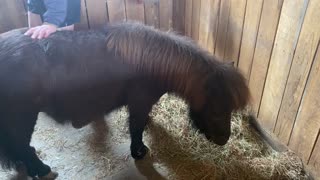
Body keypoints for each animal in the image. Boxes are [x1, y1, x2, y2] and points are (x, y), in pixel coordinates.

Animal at [0, 21, 250, 178]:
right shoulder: (139, 103)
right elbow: (136, 128)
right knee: (21, 145)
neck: (154, 63)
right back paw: (41, 169)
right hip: (22, 118)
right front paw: (138, 151)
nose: (224, 140)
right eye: (217, 108)